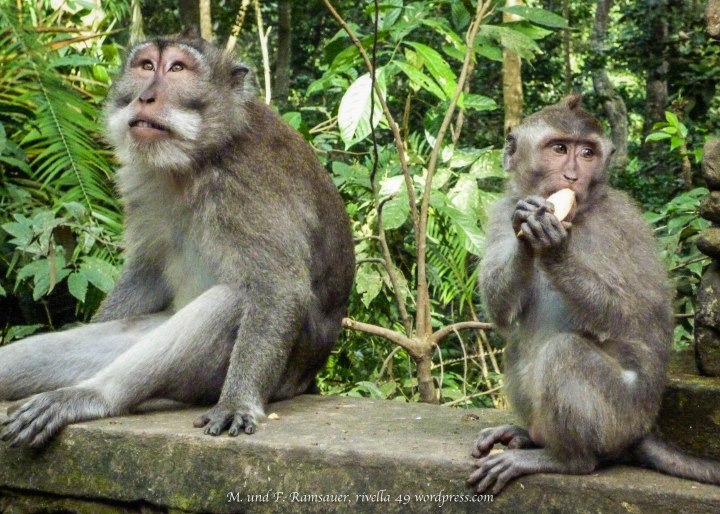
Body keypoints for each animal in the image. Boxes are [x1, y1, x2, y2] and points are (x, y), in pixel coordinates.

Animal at [0, 33, 355, 448]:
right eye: (146, 66)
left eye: (178, 69)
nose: (146, 97)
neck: (196, 161)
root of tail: (305, 379)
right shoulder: (143, 180)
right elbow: (148, 272)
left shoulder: (251, 183)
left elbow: (279, 286)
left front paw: (238, 402)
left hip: (237, 376)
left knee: (230, 301)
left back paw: (92, 396)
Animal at [468, 95, 720, 494]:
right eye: (559, 149)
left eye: (587, 153)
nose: (573, 176)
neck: (580, 214)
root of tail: (643, 429)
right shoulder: (501, 211)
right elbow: (501, 313)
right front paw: (529, 233)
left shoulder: (620, 224)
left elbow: (627, 313)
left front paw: (554, 248)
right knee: (518, 344)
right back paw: (528, 435)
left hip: (620, 416)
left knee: (566, 352)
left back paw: (565, 459)